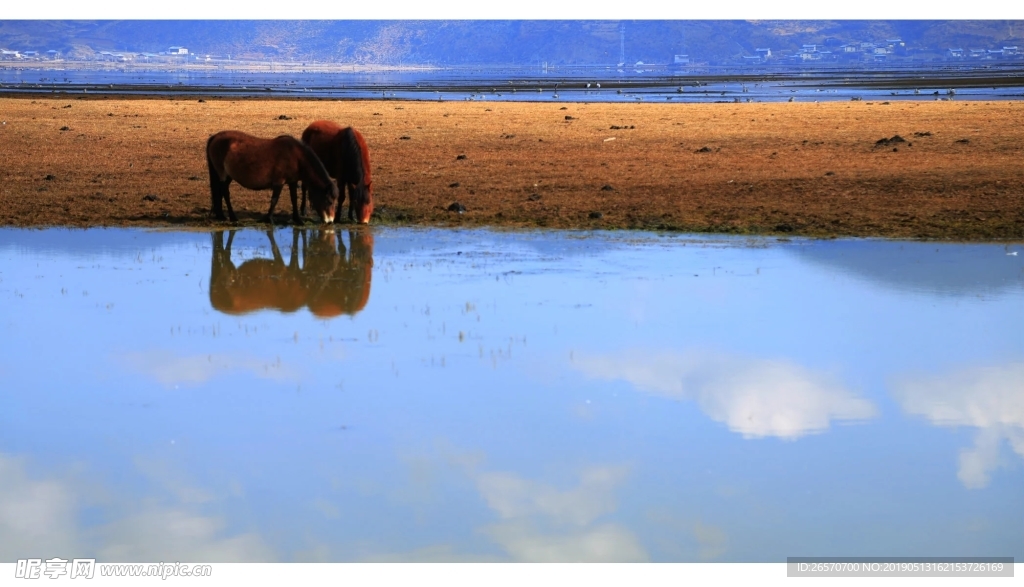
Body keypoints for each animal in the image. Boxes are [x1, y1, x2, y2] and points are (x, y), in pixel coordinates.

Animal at [205, 130, 337, 224]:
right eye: (329, 201)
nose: (330, 221)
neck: (296, 156)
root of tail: (216, 137)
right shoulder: (279, 182)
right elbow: (274, 200)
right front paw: (268, 218)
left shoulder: (292, 182)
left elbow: (294, 199)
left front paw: (297, 219)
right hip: (222, 174)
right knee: (224, 192)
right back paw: (232, 217)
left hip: (227, 176)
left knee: (220, 192)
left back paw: (221, 215)